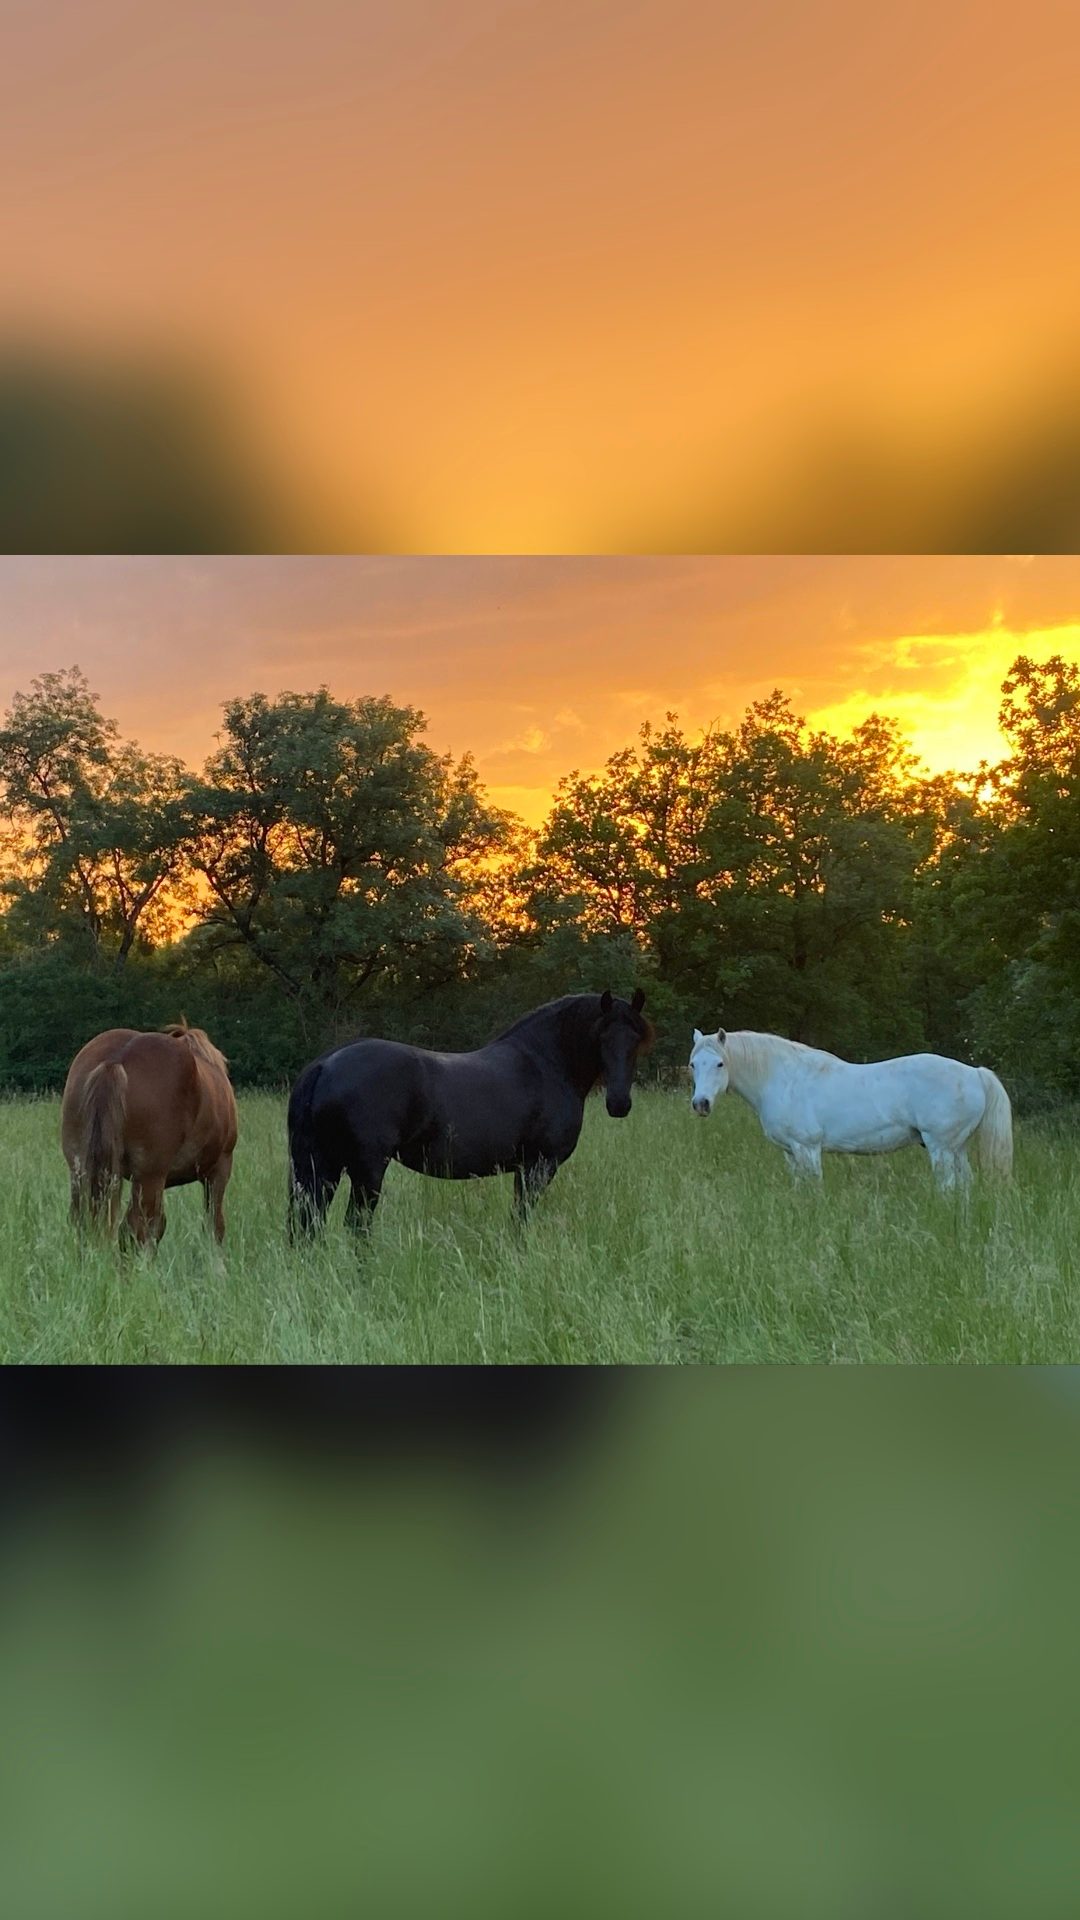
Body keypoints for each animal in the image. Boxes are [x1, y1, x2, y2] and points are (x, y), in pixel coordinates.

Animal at [61, 1022, 239, 1246]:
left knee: (83, 1221)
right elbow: (215, 1226)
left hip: (81, 1170)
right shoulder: (220, 1169)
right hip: (149, 1177)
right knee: (134, 1228)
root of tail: (116, 1060)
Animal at [287, 988, 653, 1236]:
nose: (619, 1103)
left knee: (307, 1223)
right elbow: (522, 1218)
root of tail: (325, 1065)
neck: (545, 1064)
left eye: (635, 1038)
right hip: (366, 1169)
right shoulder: (538, 1166)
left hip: (321, 1167)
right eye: (601, 1037)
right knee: (355, 1225)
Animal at [688, 1027, 1013, 1190]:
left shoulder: (807, 1148)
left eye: (719, 1063)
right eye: (693, 1064)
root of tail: (974, 1073)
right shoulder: (791, 1153)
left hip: (941, 1148)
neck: (781, 1078)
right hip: (956, 1149)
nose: (701, 1104)